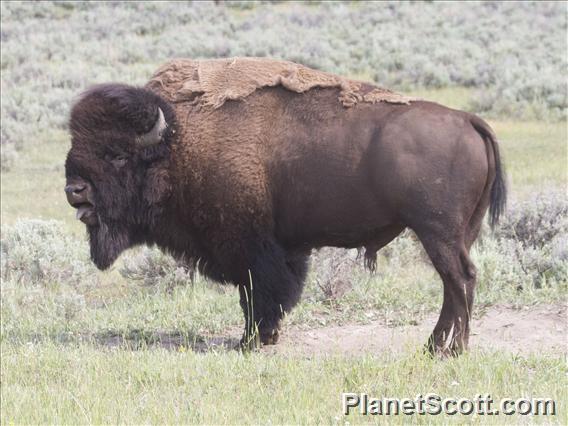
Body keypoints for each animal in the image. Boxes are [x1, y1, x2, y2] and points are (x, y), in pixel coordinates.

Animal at [64, 57, 504, 356]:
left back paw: (453, 350)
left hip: (437, 233)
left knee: (461, 280)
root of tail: (468, 120)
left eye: (118, 155)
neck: (178, 140)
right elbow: (265, 294)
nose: (74, 190)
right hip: (453, 235)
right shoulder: (278, 249)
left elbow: (257, 294)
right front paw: (262, 338)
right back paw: (433, 347)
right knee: (453, 286)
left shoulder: (250, 248)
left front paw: (250, 341)